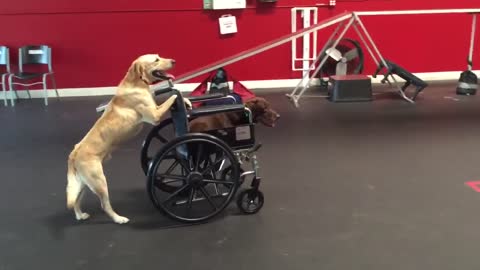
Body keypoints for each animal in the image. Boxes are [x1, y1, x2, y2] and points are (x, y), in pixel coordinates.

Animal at [67, 54, 191, 224]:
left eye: (160, 56)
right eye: (156, 60)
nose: (174, 61)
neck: (138, 83)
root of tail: (74, 152)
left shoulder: (155, 107)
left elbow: (165, 100)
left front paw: (186, 101)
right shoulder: (154, 116)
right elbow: (170, 98)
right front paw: (177, 94)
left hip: (83, 183)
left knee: (76, 200)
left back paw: (80, 215)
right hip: (99, 181)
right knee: (104, 205)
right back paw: (119, 219)